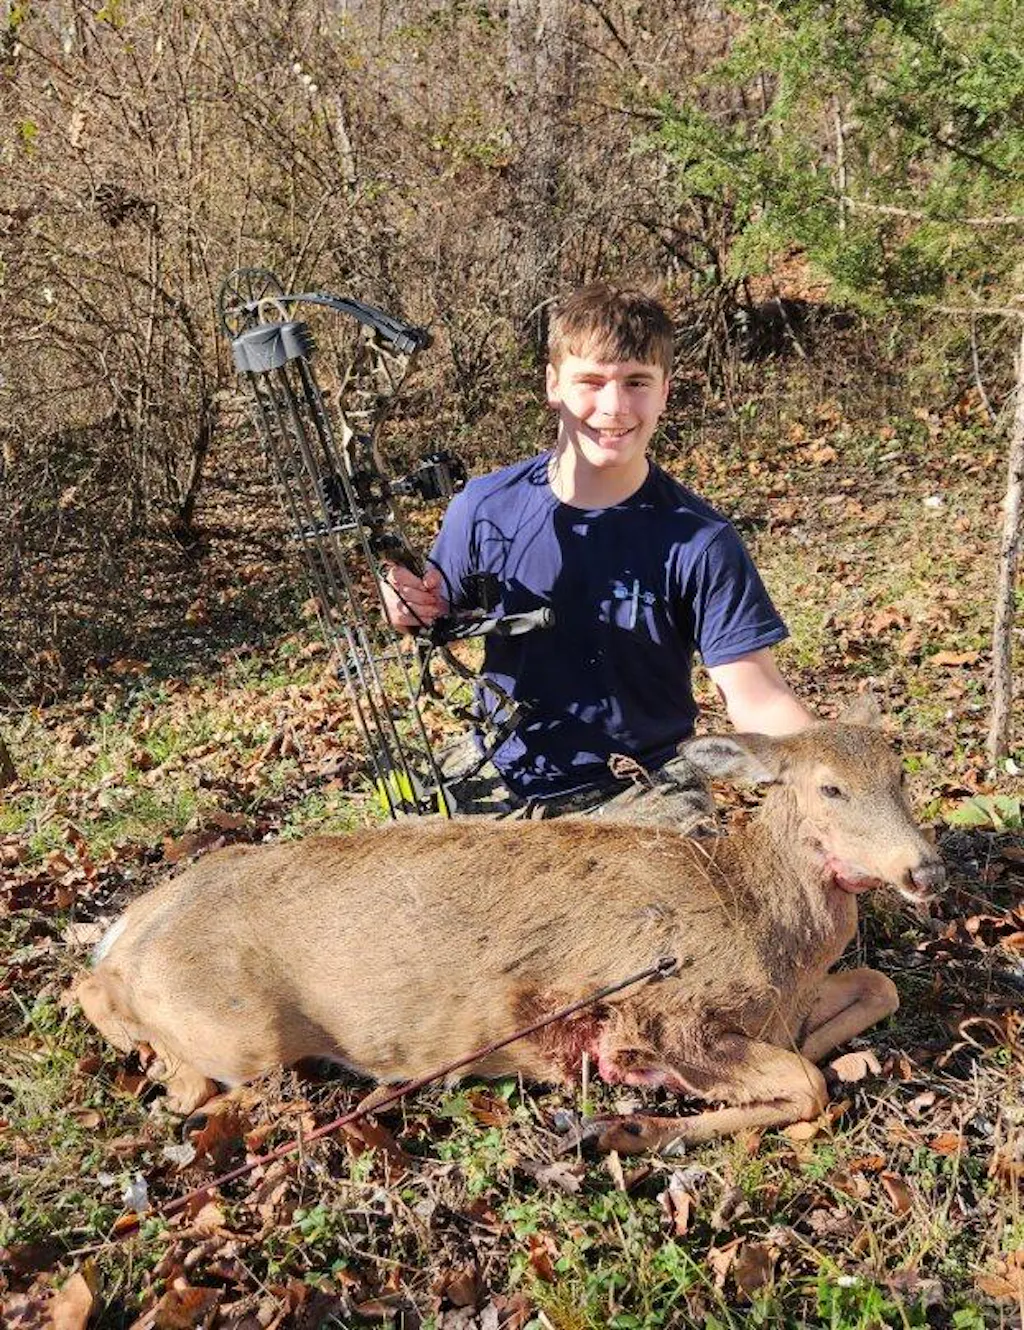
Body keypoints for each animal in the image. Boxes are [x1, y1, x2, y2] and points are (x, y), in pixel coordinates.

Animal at [77, 697, 944, 1152]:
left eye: (902, 773)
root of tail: (131, 929)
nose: (925, 869)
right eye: (830, 787)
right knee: (139, 1034)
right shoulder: (661, 1013)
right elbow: (805, 1082)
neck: (765, 928)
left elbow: (876, 989)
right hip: (242, 1034)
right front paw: (631, 1126)